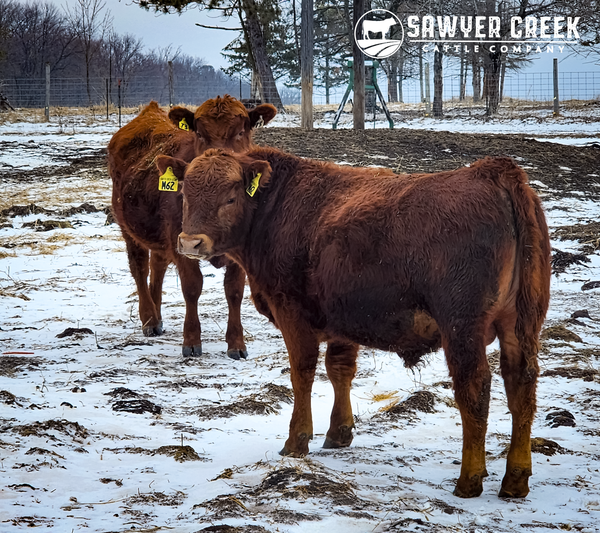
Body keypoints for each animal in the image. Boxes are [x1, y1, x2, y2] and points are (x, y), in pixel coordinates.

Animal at [107, 97, 276, 360]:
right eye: (199, 133)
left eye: (241, 132)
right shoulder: (183, 244)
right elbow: (192, 287)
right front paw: (192, 341)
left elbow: (234, 291)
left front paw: (236, 343)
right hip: (129, 228)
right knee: (139, 269)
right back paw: (149, 319)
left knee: (157, 267)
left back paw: (157, 315)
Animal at [166, 147, 552, 498]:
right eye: (184, 194)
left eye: (230, 197)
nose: (190, 242)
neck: (277, 207)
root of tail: (494, 172)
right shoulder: (343, 319)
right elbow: (340, 371)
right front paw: (339, 433)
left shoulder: (292, 313)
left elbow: (302, 374)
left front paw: (296, 440)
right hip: (521, 325)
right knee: (522, 386)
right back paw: (515, 479)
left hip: (462, 327)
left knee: (474, 390)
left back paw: (469, 479)